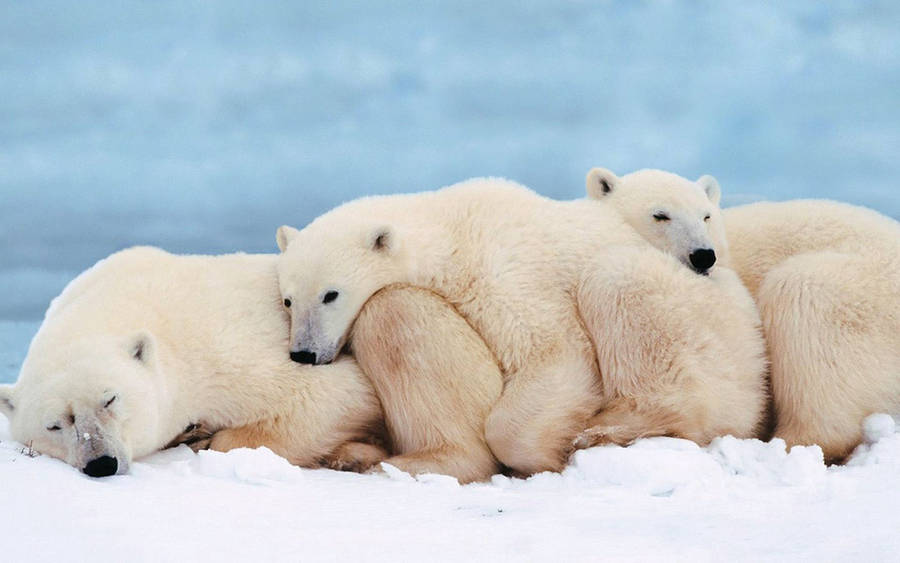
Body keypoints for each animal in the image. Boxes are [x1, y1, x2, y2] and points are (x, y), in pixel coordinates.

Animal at [0, 247, 503, 482]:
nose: (101, 463)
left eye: (110, 399)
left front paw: (207, 436)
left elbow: (334, 394)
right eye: (55, 424)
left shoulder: (222, 348)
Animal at [275, 178, 768, 475]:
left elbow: (554, 352)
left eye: (331, 294)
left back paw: (608, 430)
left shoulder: (503, 271)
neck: (452, 229)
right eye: (288, 299)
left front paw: (546, 454)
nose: (304, 353)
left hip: (704, 325)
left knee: (618, 282)